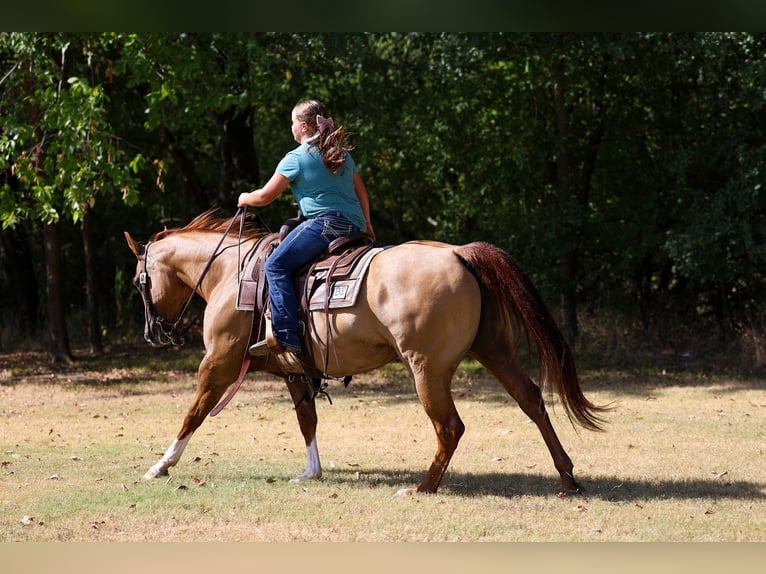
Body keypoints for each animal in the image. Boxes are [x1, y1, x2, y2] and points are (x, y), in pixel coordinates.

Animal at [124, 209, 609, 495]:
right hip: (495, 351)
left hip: (426, 369)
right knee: (531, 401)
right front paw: (311, 471)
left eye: (138, 281)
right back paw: (567, 476)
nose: (153, 333)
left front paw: (161, 465)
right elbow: (307, 420)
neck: (232, 271)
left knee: (450, 427)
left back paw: (424, 487)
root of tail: (459, 253)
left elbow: (194, 413)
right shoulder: (295, 370)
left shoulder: (218, 363)